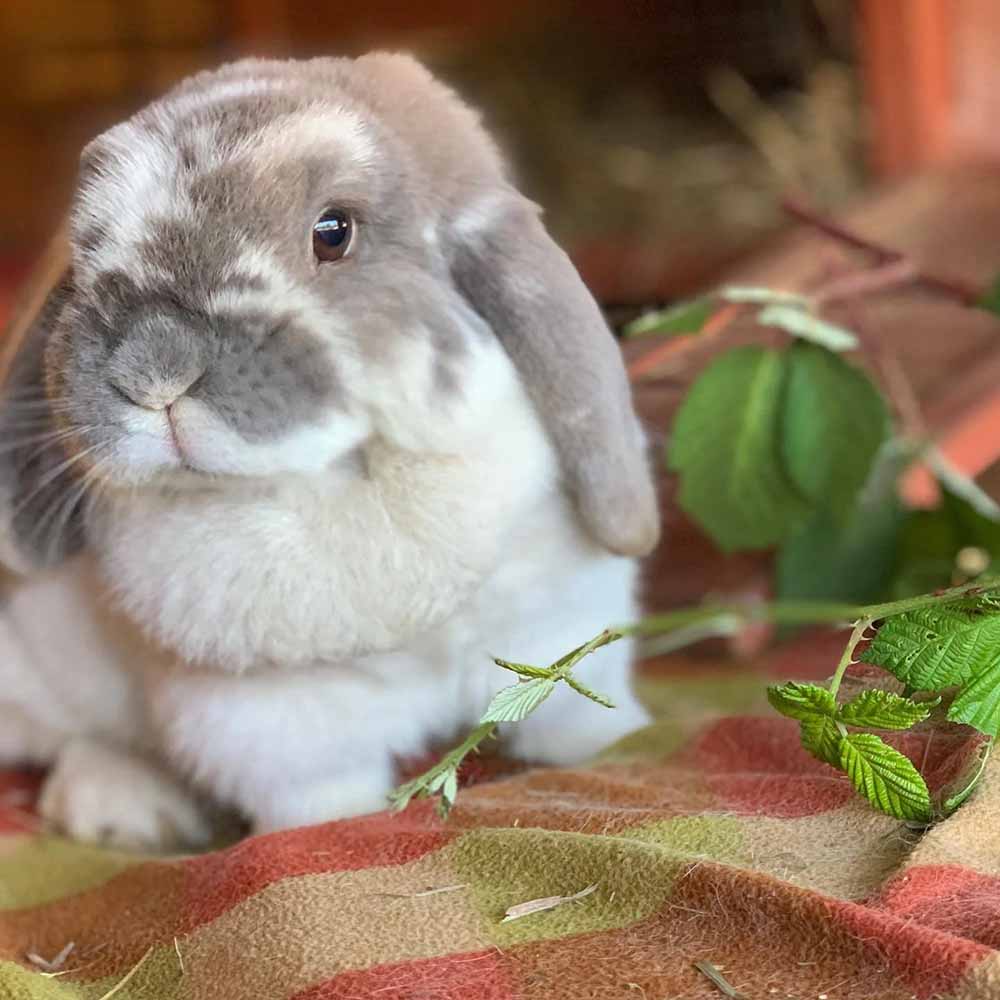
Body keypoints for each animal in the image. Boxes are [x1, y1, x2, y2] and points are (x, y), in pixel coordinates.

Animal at [0, 53, 660, 850]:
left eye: (334, 231)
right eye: (86, 253)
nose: (152, 373)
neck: (350, 477)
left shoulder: (564, 616)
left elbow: (574, 716)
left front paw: (626, 747)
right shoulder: (273, 725)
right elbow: (321, 801)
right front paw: (339, 833)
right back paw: (127, 807)